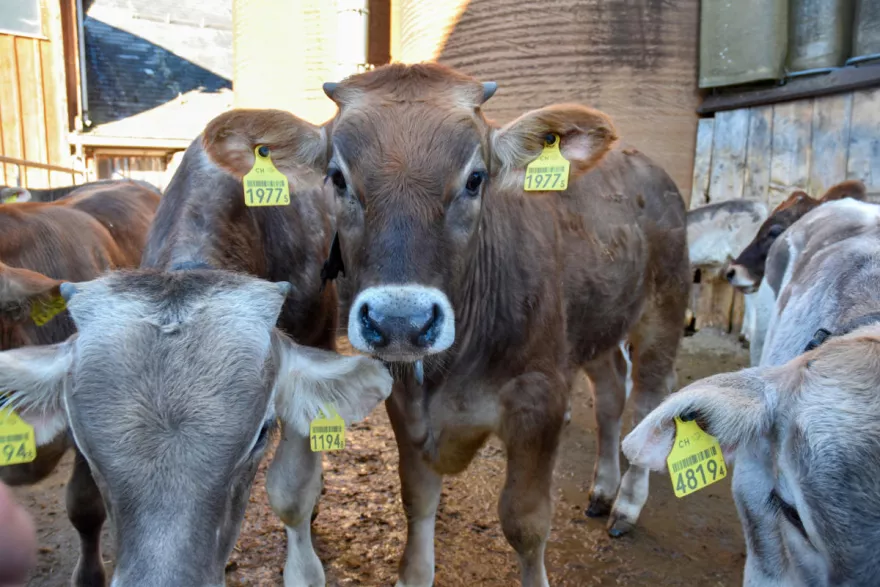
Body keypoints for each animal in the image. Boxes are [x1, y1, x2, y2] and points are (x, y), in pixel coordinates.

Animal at [203, 62, 692, 584]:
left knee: (648, 401)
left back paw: (627, 503)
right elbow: (417, 502)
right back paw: (603, 488)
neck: (453, 370)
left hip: (664, 308)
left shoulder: (540, 396)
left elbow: (526, 523)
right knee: (611, 394)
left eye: (476, 178)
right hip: (598, 323)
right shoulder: (405, 398)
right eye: (336, 177)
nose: (401, 320)